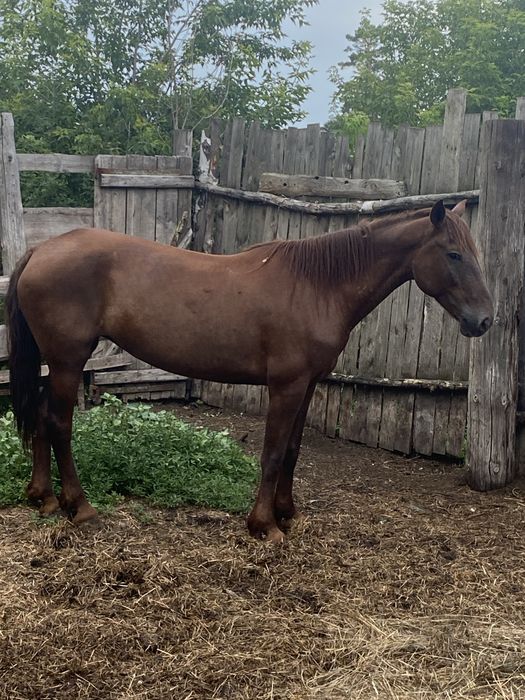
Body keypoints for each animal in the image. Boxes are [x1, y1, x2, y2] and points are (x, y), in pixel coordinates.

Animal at [6, 199, 493, 542]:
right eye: (453, 254)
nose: (485, 320)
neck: (318, 285)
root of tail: (41, 249)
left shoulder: (307, 386)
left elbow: (293, 450)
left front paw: (287, 513)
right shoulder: (286, 386)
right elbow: (273, 453)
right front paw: (264, 525)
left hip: (57, 363)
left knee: (42, 419)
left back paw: (43, 498)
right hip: (69, 360)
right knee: (59, 423)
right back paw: (79, 506)